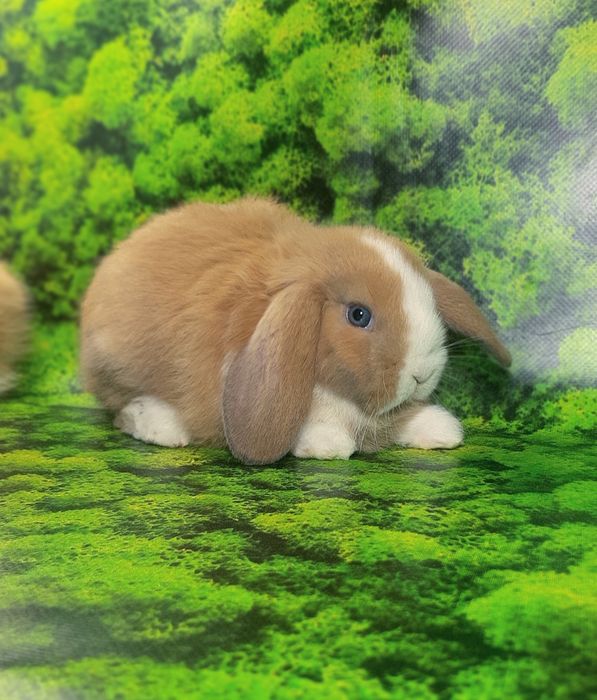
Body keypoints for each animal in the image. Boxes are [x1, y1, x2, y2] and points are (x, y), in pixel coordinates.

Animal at [80, 197, 511, 464]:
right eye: (358, 315)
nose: (423, 374)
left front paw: (441, 428)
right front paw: (327, 444)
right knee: (122, 410)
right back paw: (163, 426)